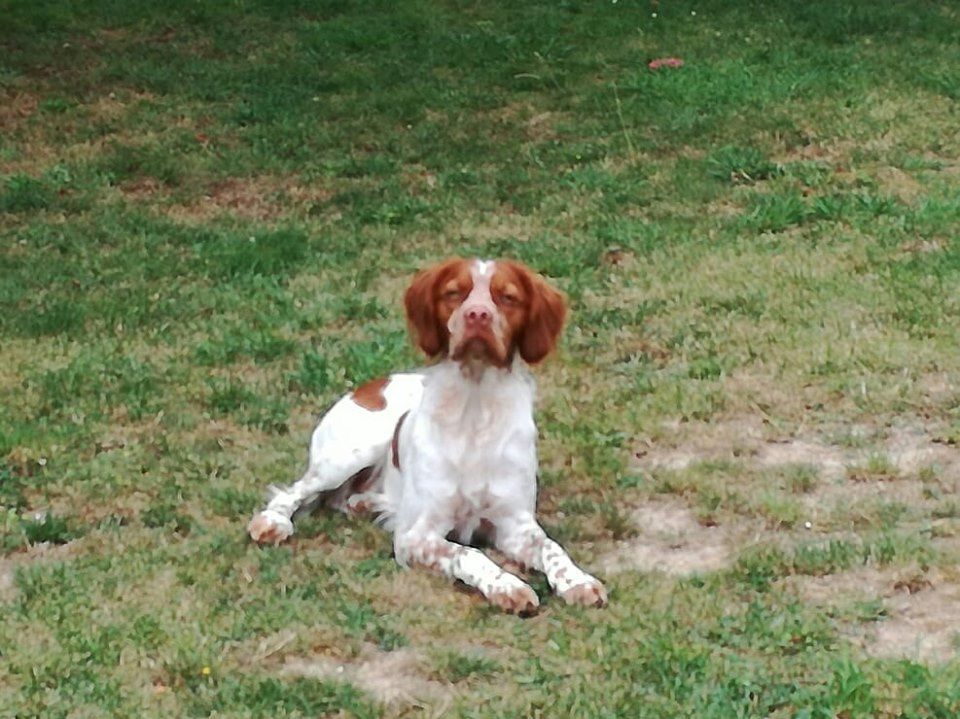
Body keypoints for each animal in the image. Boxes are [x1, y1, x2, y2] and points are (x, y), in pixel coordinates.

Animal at [249, 258, 608, 612]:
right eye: (453, 293)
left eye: (508, 297)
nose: (478, 315)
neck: (475, 405)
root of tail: (371, 385)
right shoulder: (415, 537)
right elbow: (468, 554)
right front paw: (508, 586)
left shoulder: (515, 524)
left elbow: (551, 548)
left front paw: (577, 581)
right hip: (347, 456)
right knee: (295, 491)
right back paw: (272, 522)